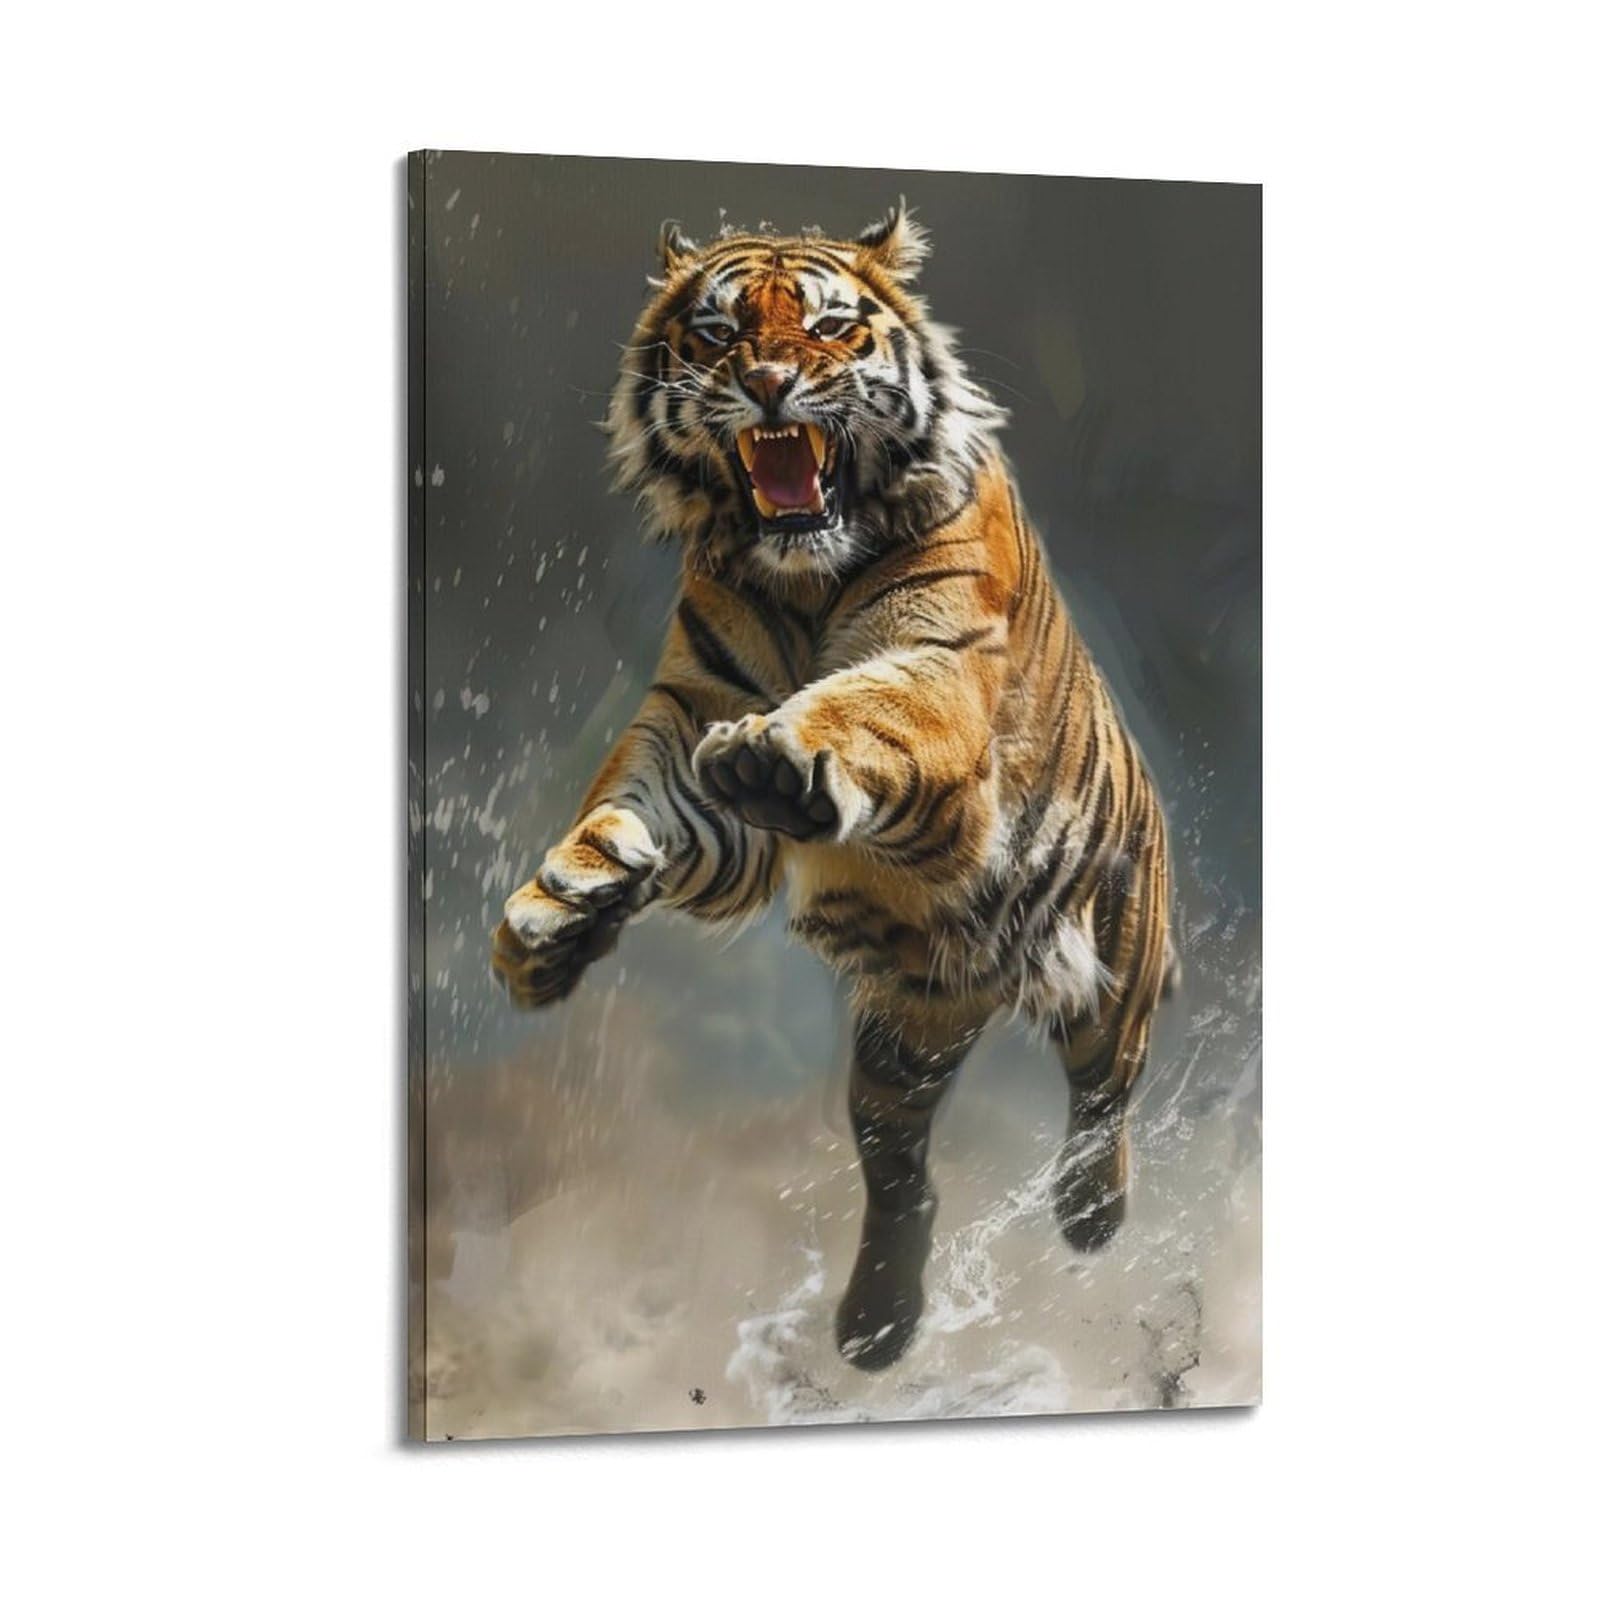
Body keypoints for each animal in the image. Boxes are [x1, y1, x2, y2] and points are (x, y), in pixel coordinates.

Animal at [491, 203, 1175, 1372]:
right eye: (718, 334)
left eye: (828, 327)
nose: (768, 382)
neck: (801, 570)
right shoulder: (690, 712)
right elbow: (626, 802)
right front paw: (557, 914)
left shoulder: (938, 665)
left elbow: (866, 708)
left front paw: (779, 755)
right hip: (906, 1033)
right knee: (901, 1175)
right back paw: (874, 1328)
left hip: (1111, 978)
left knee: (1102, 1098)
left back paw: (1092, 1218)